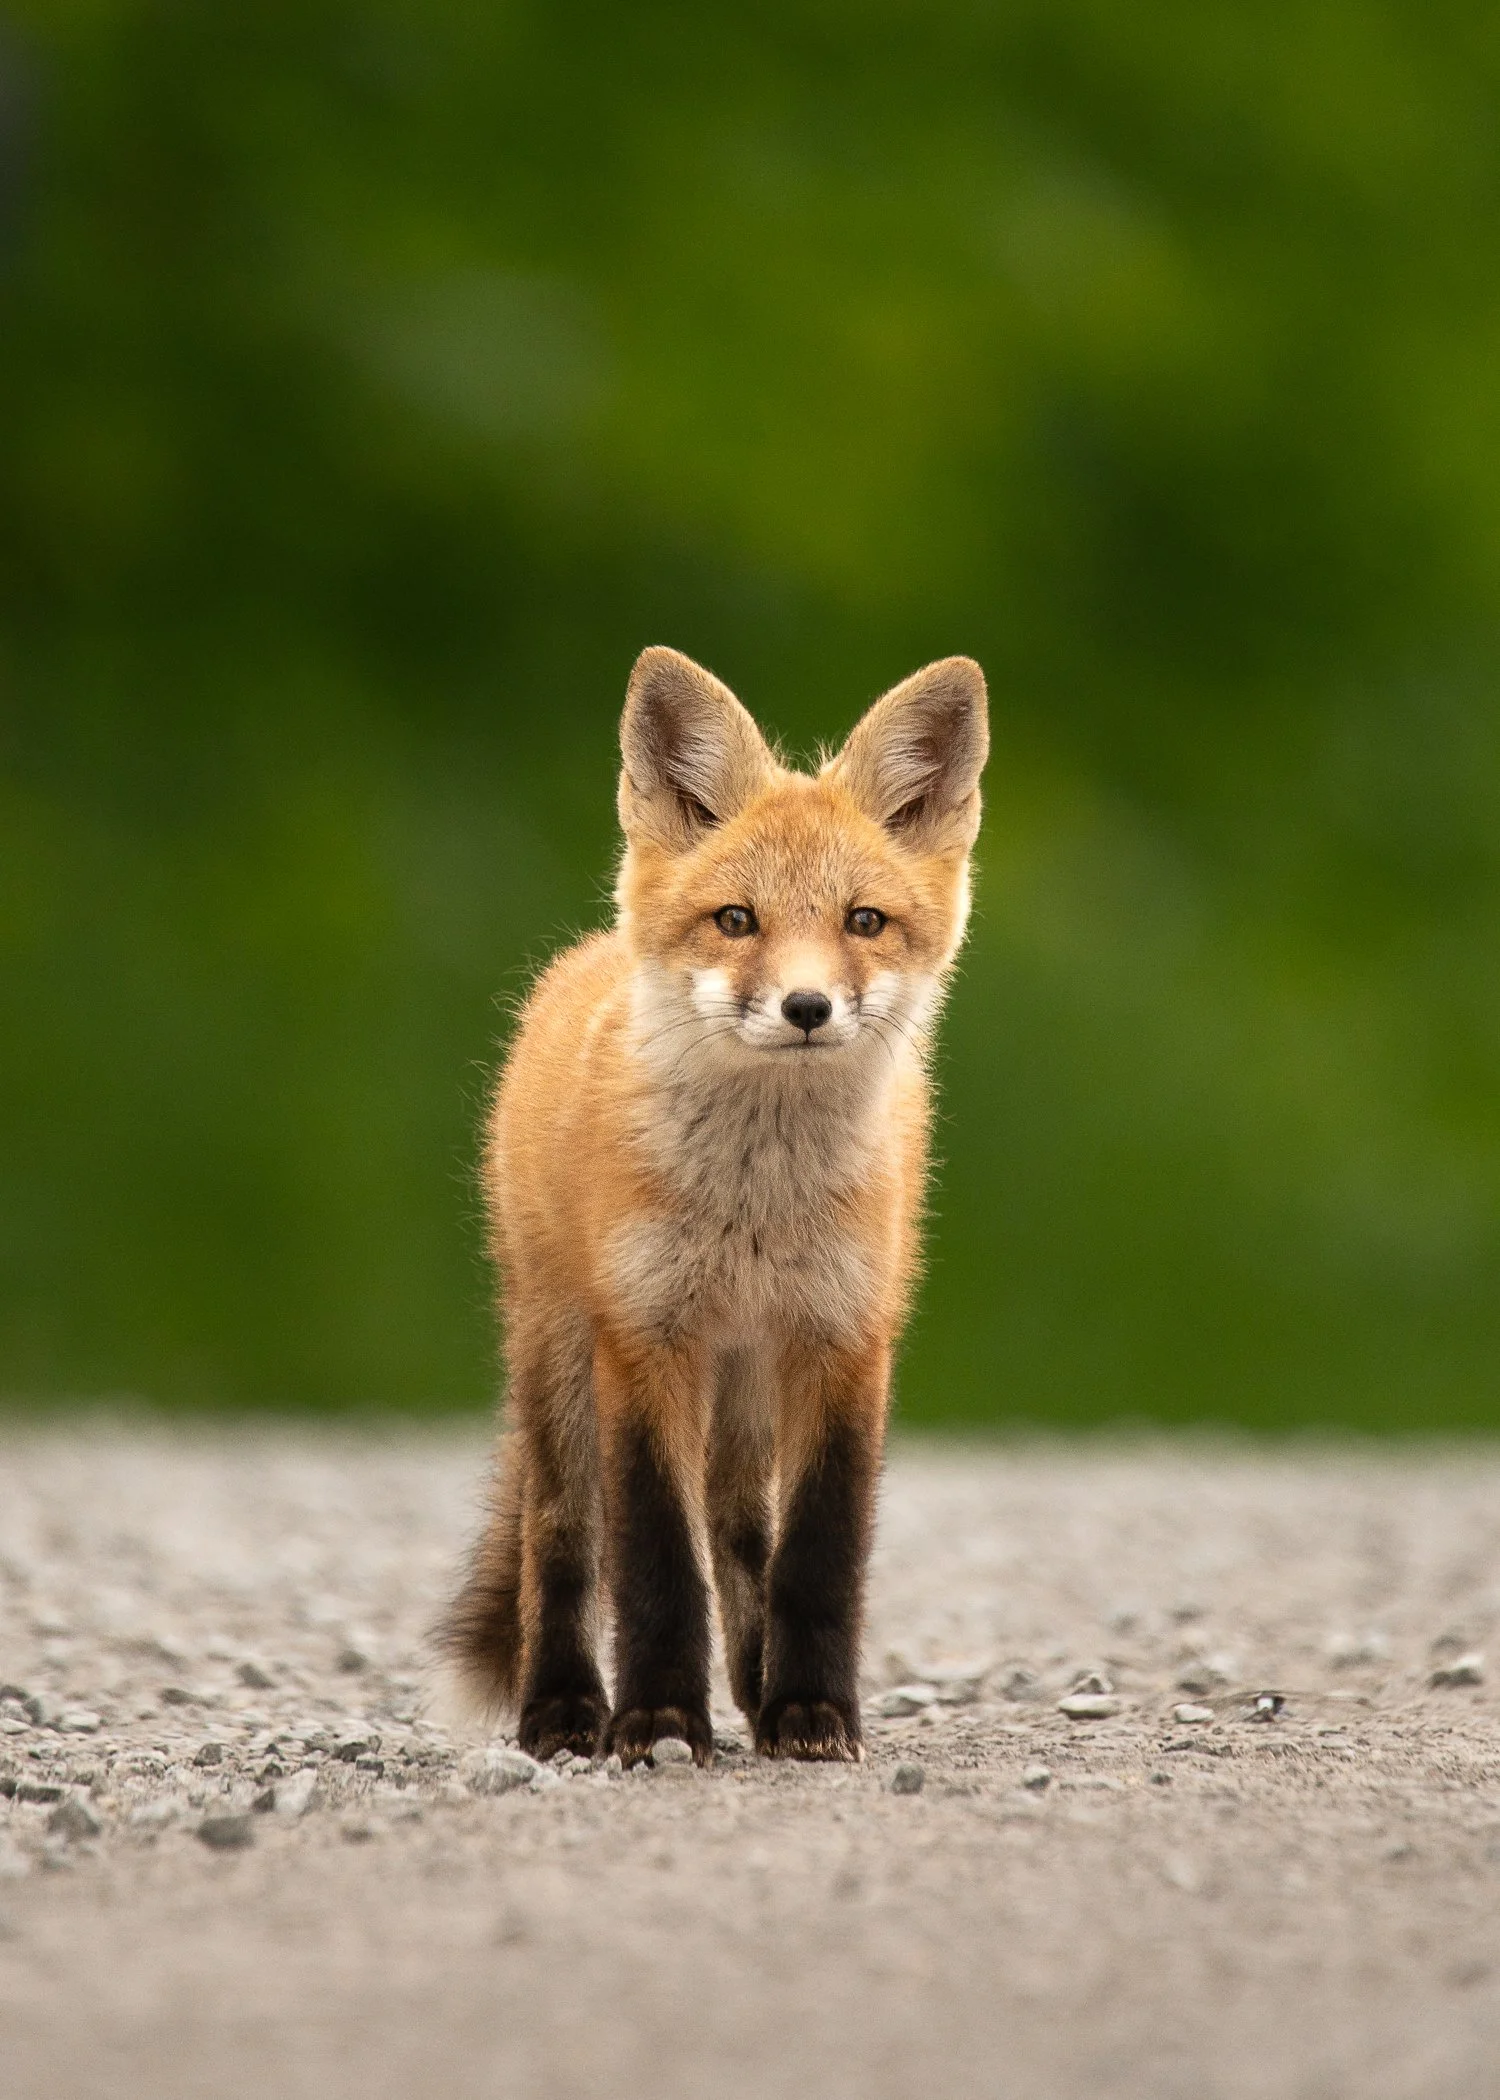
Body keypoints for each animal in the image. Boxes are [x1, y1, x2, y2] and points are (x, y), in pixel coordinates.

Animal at [439, 644, 988, 1766]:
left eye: (864, 922)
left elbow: (814, 1555)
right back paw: (563, 1709)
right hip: (562, 1355)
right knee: (563, 1537)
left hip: (746, 1379)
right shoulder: (646, 1338)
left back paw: (754, 1685)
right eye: (738, 921)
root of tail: (582, 959)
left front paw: (809, 1713)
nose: (807, 1007)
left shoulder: (844, 1338)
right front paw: (656, 1721)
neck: (756, 1206)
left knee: (742, 1532)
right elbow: (654, 1558)